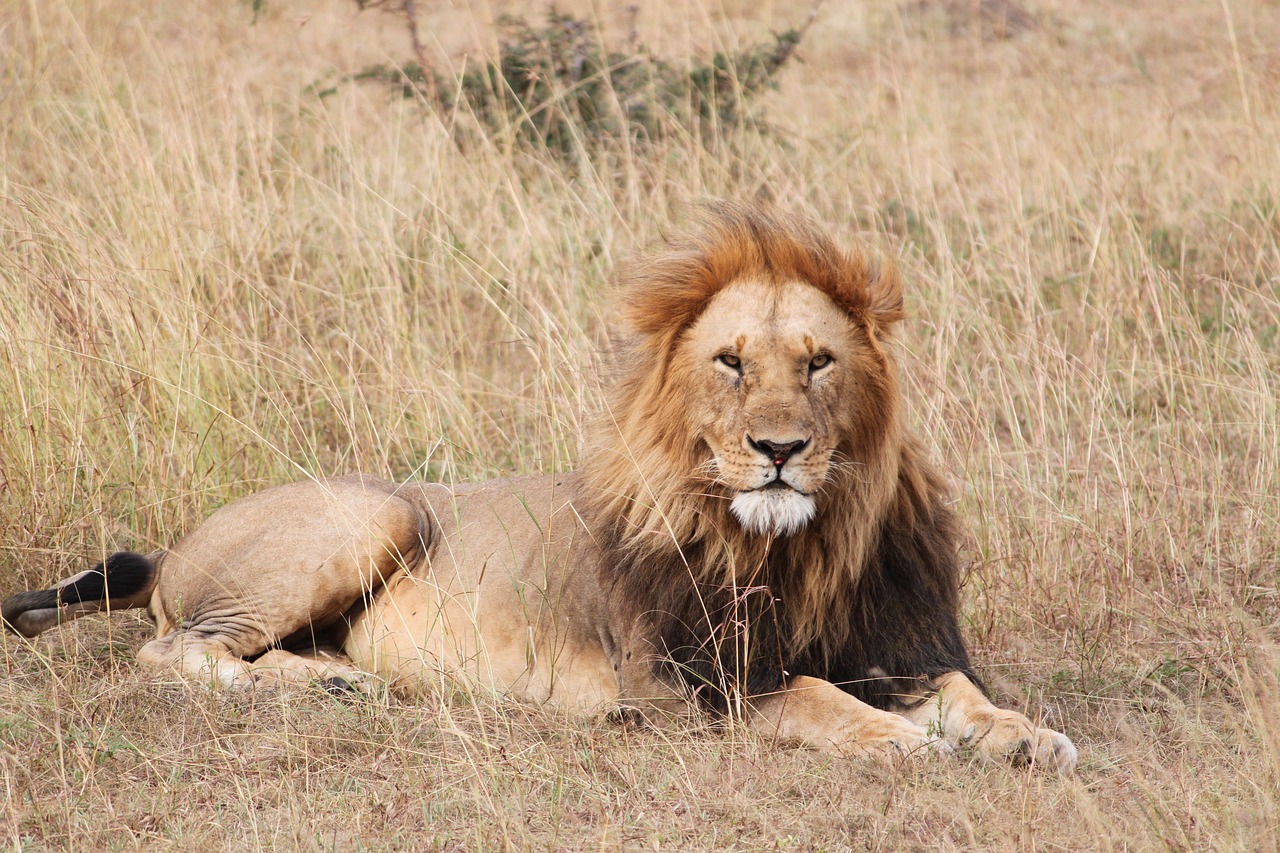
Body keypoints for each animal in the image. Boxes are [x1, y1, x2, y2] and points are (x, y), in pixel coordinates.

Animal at [2, 201, 1080, 768]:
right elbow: (820, 699)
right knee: (172, 650)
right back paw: (335, 682)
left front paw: (1027, 735)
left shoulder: (893, 645)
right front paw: (907, 743)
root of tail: (175, 543)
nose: (778, 448)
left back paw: (342, 677)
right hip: (372, 511)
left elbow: (961, 692)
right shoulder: (692, 682)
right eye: (730, 362)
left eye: (818, 362)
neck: (800, 540)